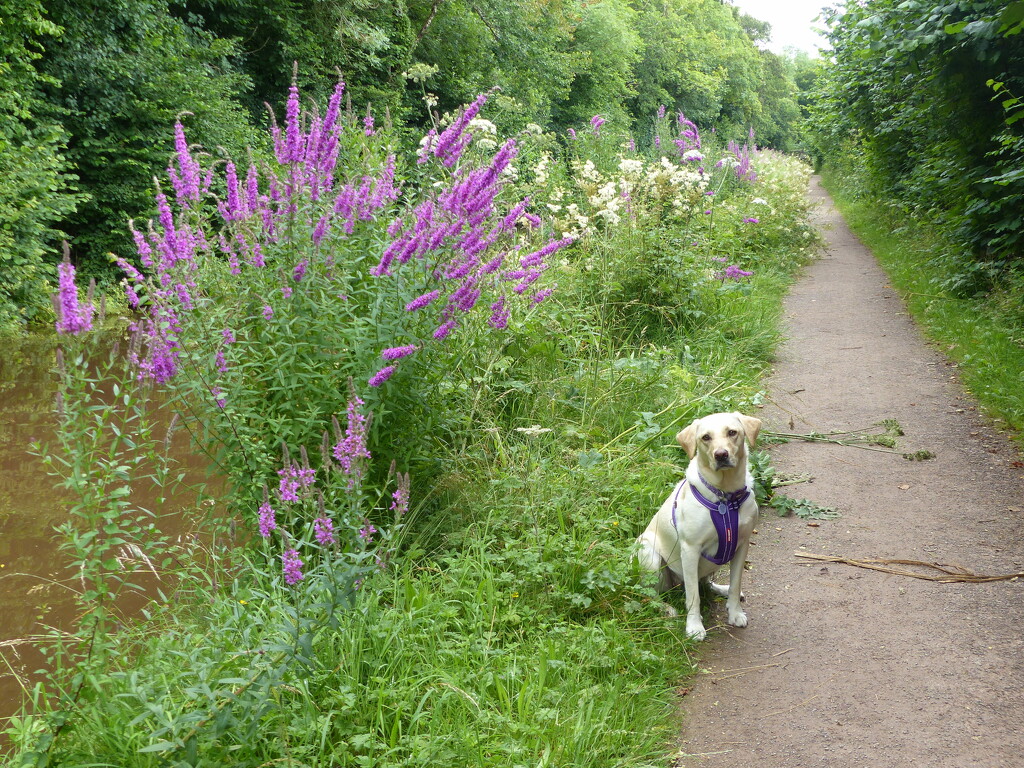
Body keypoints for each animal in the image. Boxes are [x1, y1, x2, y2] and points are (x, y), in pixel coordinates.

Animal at [638, 411, 761, 638]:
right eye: (705, 437)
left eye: (732, 432)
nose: (720, 455)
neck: (725, 496)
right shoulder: (690, 550)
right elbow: (693, 595)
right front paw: (694, 626)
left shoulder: (742, 545)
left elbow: (736, 581)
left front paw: (735, 613)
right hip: (649, 555)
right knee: (650, 594)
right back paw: (666, 609)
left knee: (706, 582)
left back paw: (721, 589)